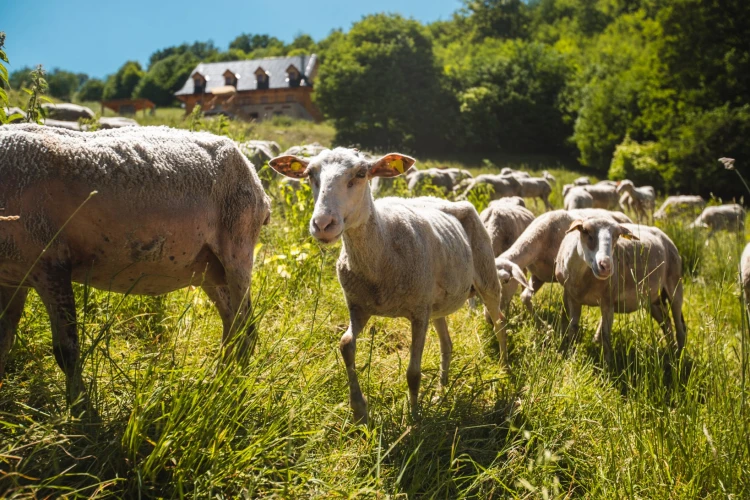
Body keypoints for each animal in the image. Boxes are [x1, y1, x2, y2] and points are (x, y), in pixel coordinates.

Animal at [0, 124, 274, 406]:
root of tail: (254, 177)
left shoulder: (51, 264)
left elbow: (66, 352)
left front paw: (82, 411)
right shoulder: (12, 276)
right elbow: (3, 342)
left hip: (237, 248)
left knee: (246, 330)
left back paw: (231, 392)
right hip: (209, 268)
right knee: (232, 324)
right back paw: (219, 383)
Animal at [268, 146, 508, 424]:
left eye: (361, 173)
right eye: (309, 174)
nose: (323, 224)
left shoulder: (418, 313)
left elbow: (413, 373)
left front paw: (413, 419)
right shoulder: (358, 307)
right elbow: (345, 345)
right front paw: (359, 410)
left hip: (486, 277)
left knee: (500, 323)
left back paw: (504, 371)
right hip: (436, 303)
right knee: (447, 344)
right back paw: (441, 391)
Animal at [552, 217, 688, 366]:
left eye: (617, 236)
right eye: (586, 232)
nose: (606, 266)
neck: (583, 278)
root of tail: (665, 236)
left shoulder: (608, 301)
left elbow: (605, 335)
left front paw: (607, 366)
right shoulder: (573, 298)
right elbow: (573, 328)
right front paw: (571, 357)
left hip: (675, 284)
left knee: (680, 327)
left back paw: (679, 358)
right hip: (651, 299)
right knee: (666, 322)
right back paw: (671, 353)